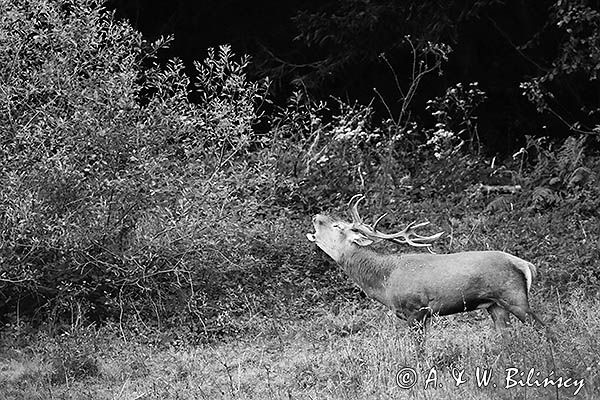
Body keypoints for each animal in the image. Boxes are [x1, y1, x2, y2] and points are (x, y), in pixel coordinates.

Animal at [308, 194, 548, 334]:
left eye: (338, 226)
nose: (316, 215)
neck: (385, 280)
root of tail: (526, 265)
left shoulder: (417, 310)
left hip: (515, 296)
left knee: (545, 330)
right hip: (495, 304)